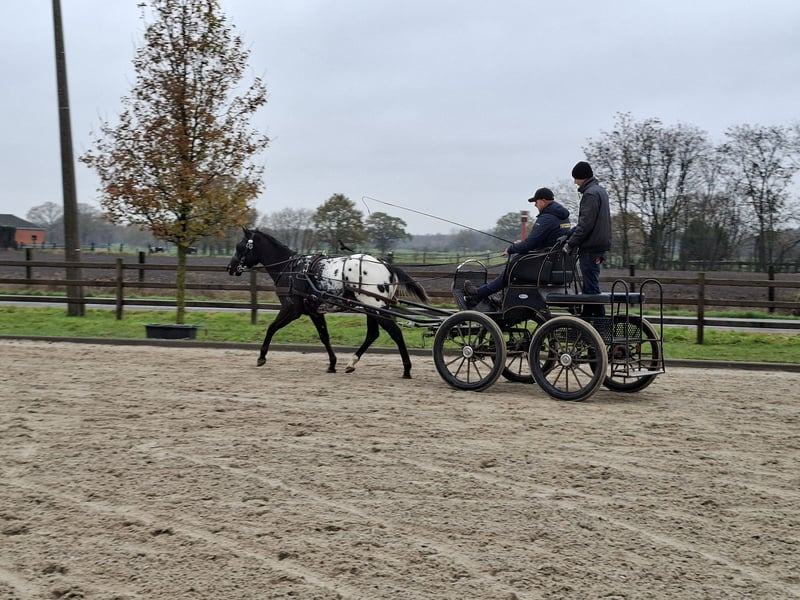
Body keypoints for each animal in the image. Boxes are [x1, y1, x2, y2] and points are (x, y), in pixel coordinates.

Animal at [227, 228, 429, 378]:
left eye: (240, 246)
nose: (230, 268)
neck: (292, 270)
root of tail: (386, 265)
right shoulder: (315, 311)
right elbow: (324, 336)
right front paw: (332, 364)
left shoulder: (291, 310)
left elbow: (271, 328)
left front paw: (261, 357)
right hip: (371, 309)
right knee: (373, 334)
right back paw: (351, 363)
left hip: (377, 308)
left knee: (395, 333)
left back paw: (407, 369)